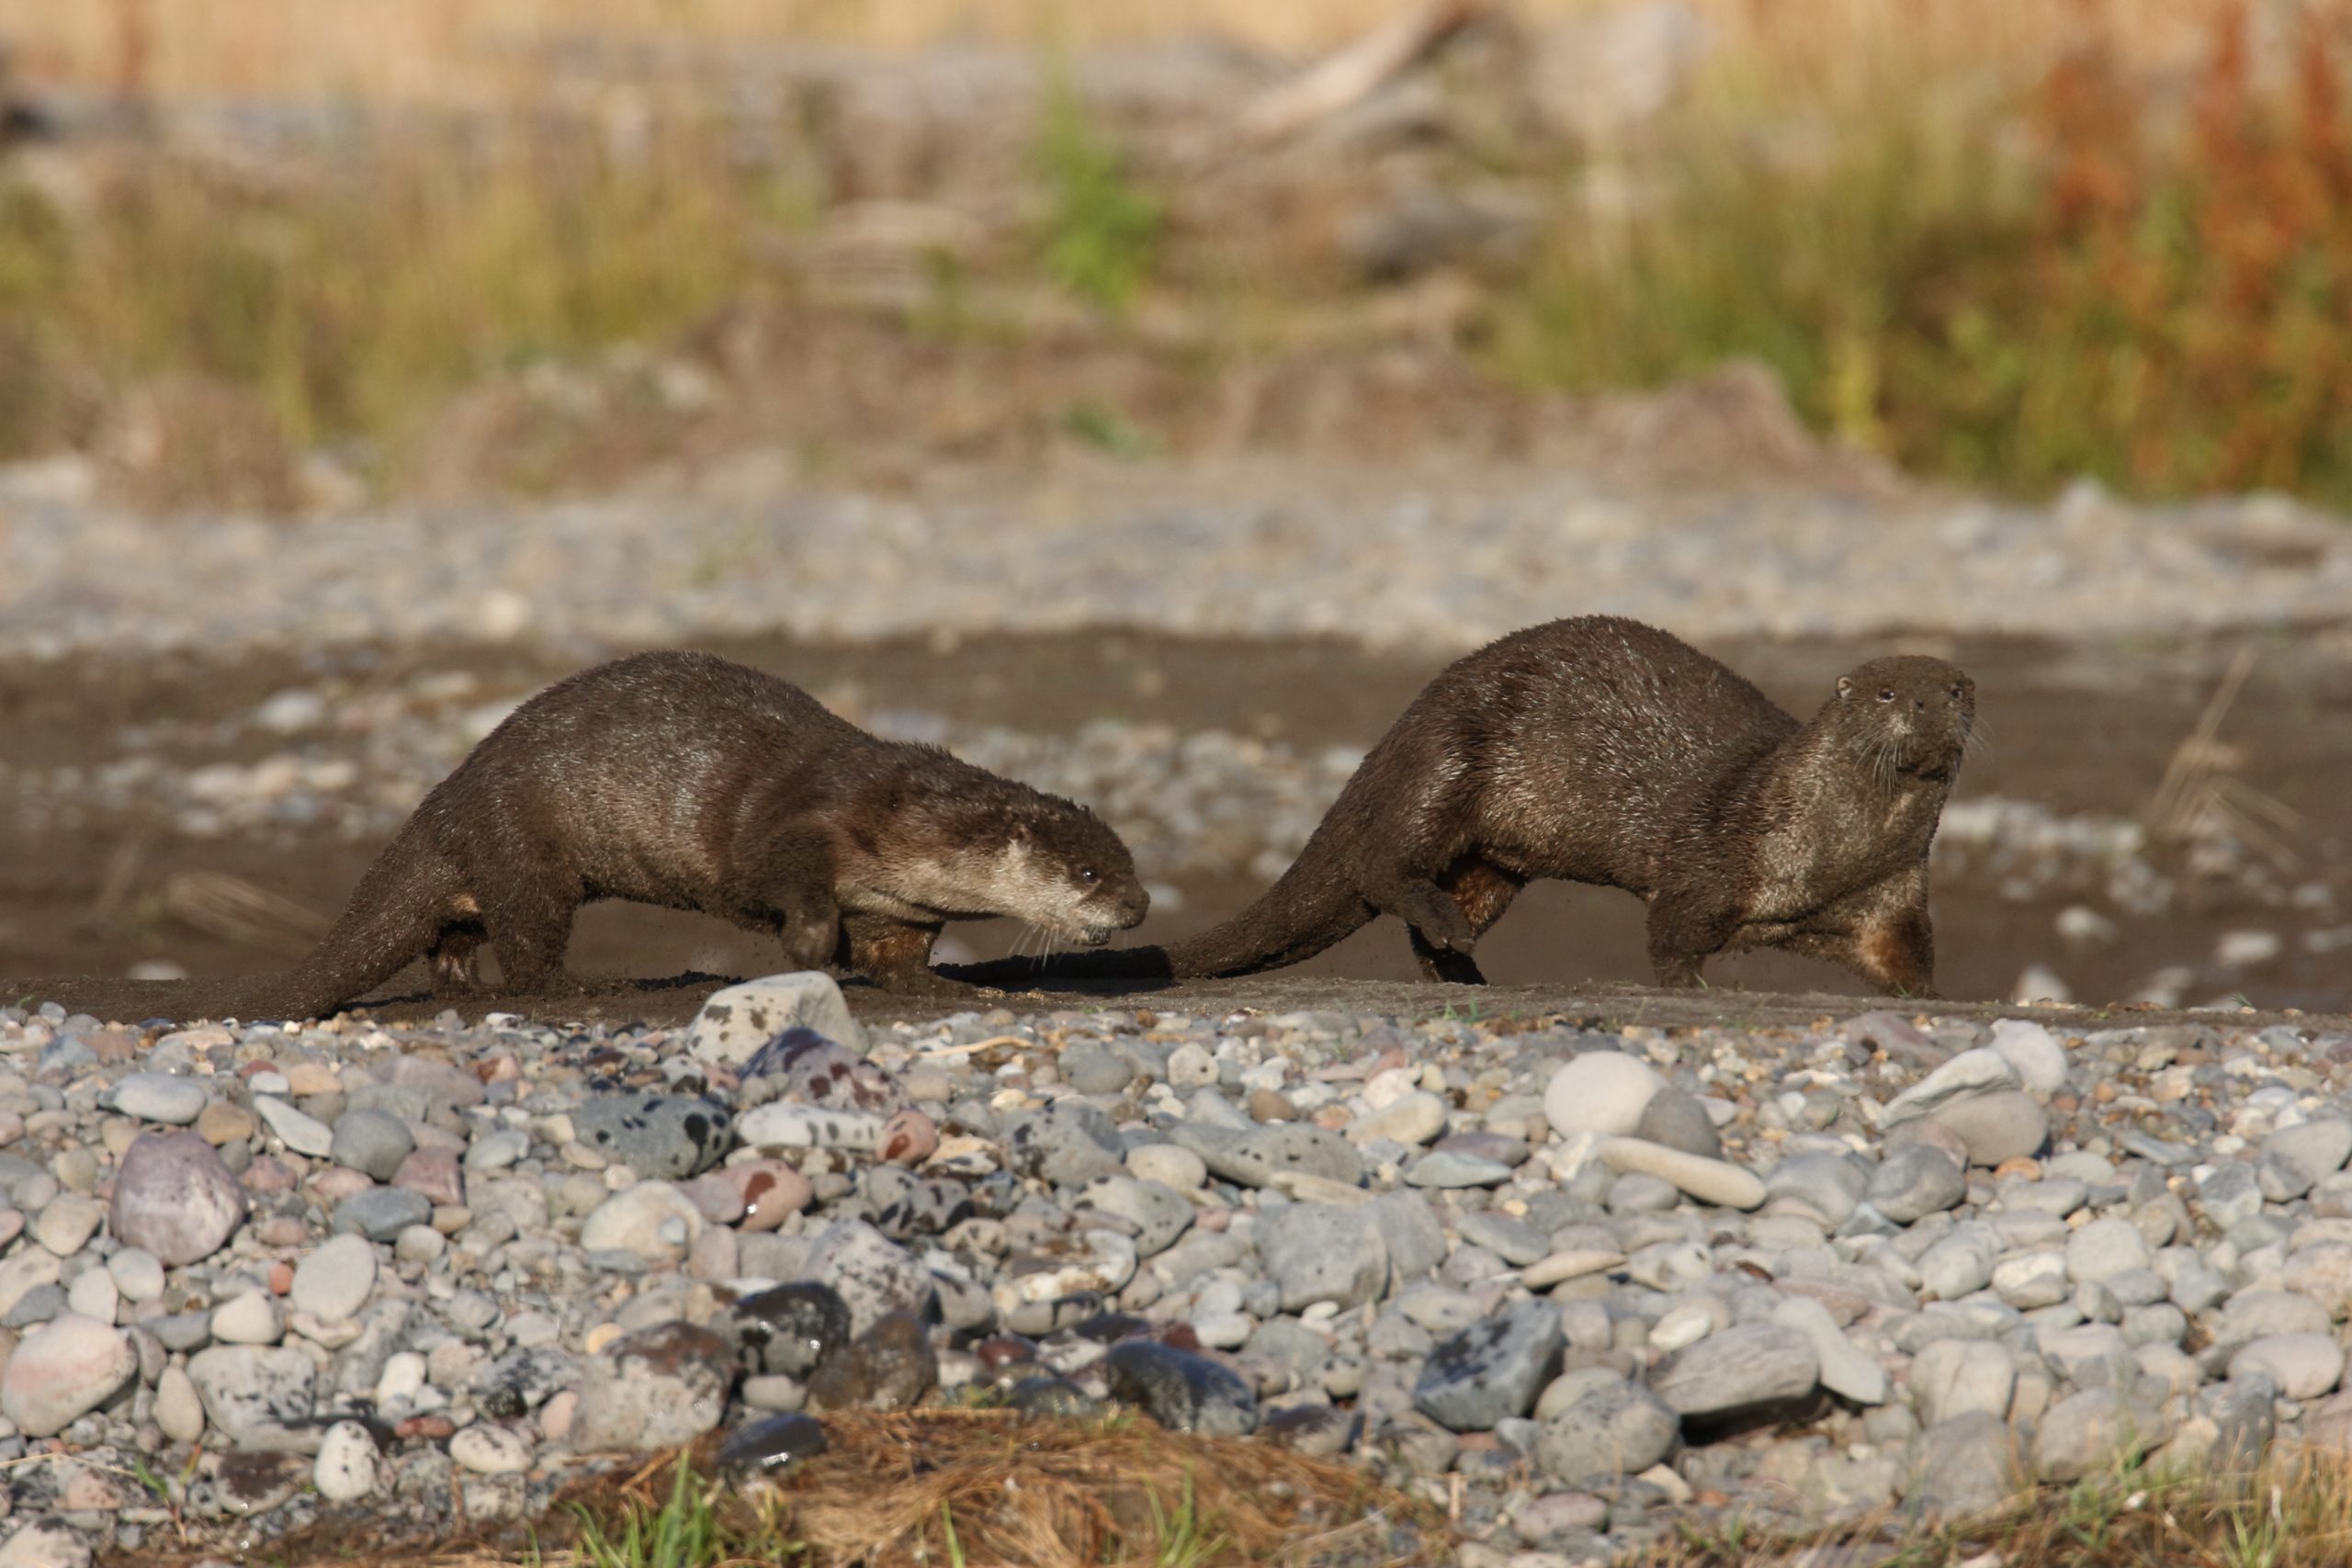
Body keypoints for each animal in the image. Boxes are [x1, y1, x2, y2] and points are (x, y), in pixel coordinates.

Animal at [231, 651, 1149, 1020]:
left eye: (1128, 864)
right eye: (1086, 873)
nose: (1138, 905)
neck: (907, 819)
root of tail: (445, 798)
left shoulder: (903, 906)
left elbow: (902, 955)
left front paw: (953, 987)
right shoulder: (802, 822)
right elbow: (789, 884)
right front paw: (815, 953)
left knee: (454, 943)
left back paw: (467, 987)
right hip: (523, 846)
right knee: (528, 947)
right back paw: (591, 987)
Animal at [945, 616, 1974, 997]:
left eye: (1959, 686)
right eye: (1888, 691)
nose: (1934, 703)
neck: (1831, 853)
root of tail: (1403, 722)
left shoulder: (1891, 898)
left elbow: (1911, 960)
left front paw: (1925, 999)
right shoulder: (1711, 860)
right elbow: (1672, 937)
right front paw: (1688, 988)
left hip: (1497, 858)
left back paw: (1465, 966)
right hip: (1449, 764)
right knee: (1382, 866)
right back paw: (1452, 939)